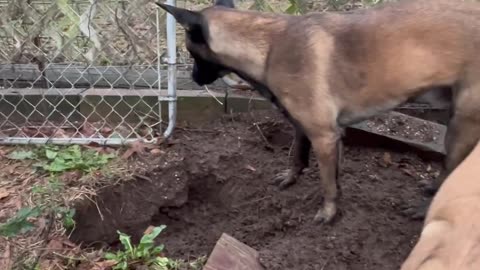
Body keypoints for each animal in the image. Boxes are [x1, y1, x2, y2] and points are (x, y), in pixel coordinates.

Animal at [157, 0, 480, 224]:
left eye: (191, 52)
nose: (194, 78)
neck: (268, 47)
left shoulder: (324, 136)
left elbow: (327, 183)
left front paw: (329, 213)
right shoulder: (307, 127)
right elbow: (299, 155)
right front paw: (292, 178)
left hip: (462, 126)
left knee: (451, 169)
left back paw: (422, 208)